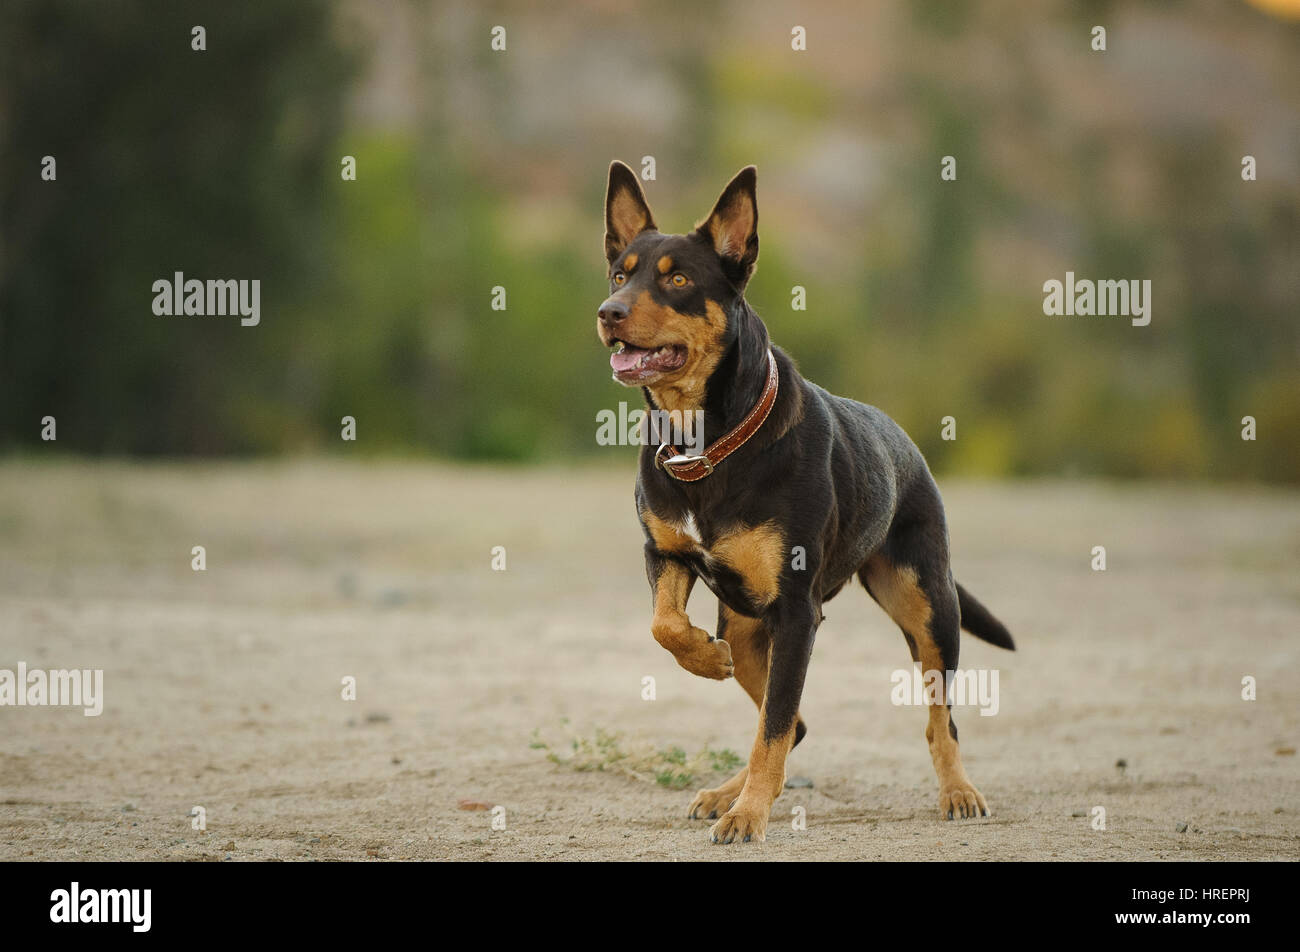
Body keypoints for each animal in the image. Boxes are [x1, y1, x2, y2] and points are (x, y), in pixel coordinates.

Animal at [598, 159, 1013, 842]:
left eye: (678, 279)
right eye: (619, 274)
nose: (608, 312)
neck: (708, 442)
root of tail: (905, 443)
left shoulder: (797, 612)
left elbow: (773, 724)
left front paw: (749, 817)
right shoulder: (666, 555)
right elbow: (667, 627)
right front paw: (704, 662)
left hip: (928, 606)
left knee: (936, 718)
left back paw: (958, 791)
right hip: (747, 625)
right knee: (792, 718)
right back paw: (730, 786)